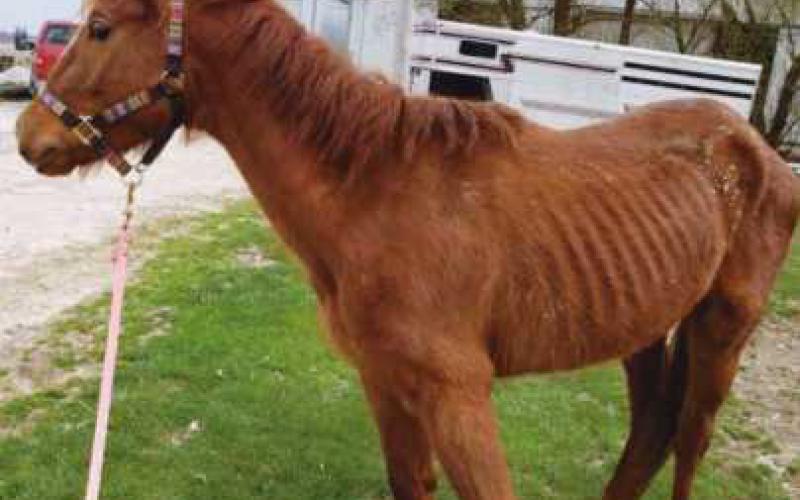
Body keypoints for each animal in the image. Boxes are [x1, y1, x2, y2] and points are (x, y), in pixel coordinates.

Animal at [15, 0, 799, 498]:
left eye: (101, 28)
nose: (29, 138)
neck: (376, 193)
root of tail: (759, 148)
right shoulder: (385, 382)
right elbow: (410, 484)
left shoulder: (459, 397)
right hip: (644, 328)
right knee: (648, 436)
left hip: (723, 329)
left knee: (690, 439)